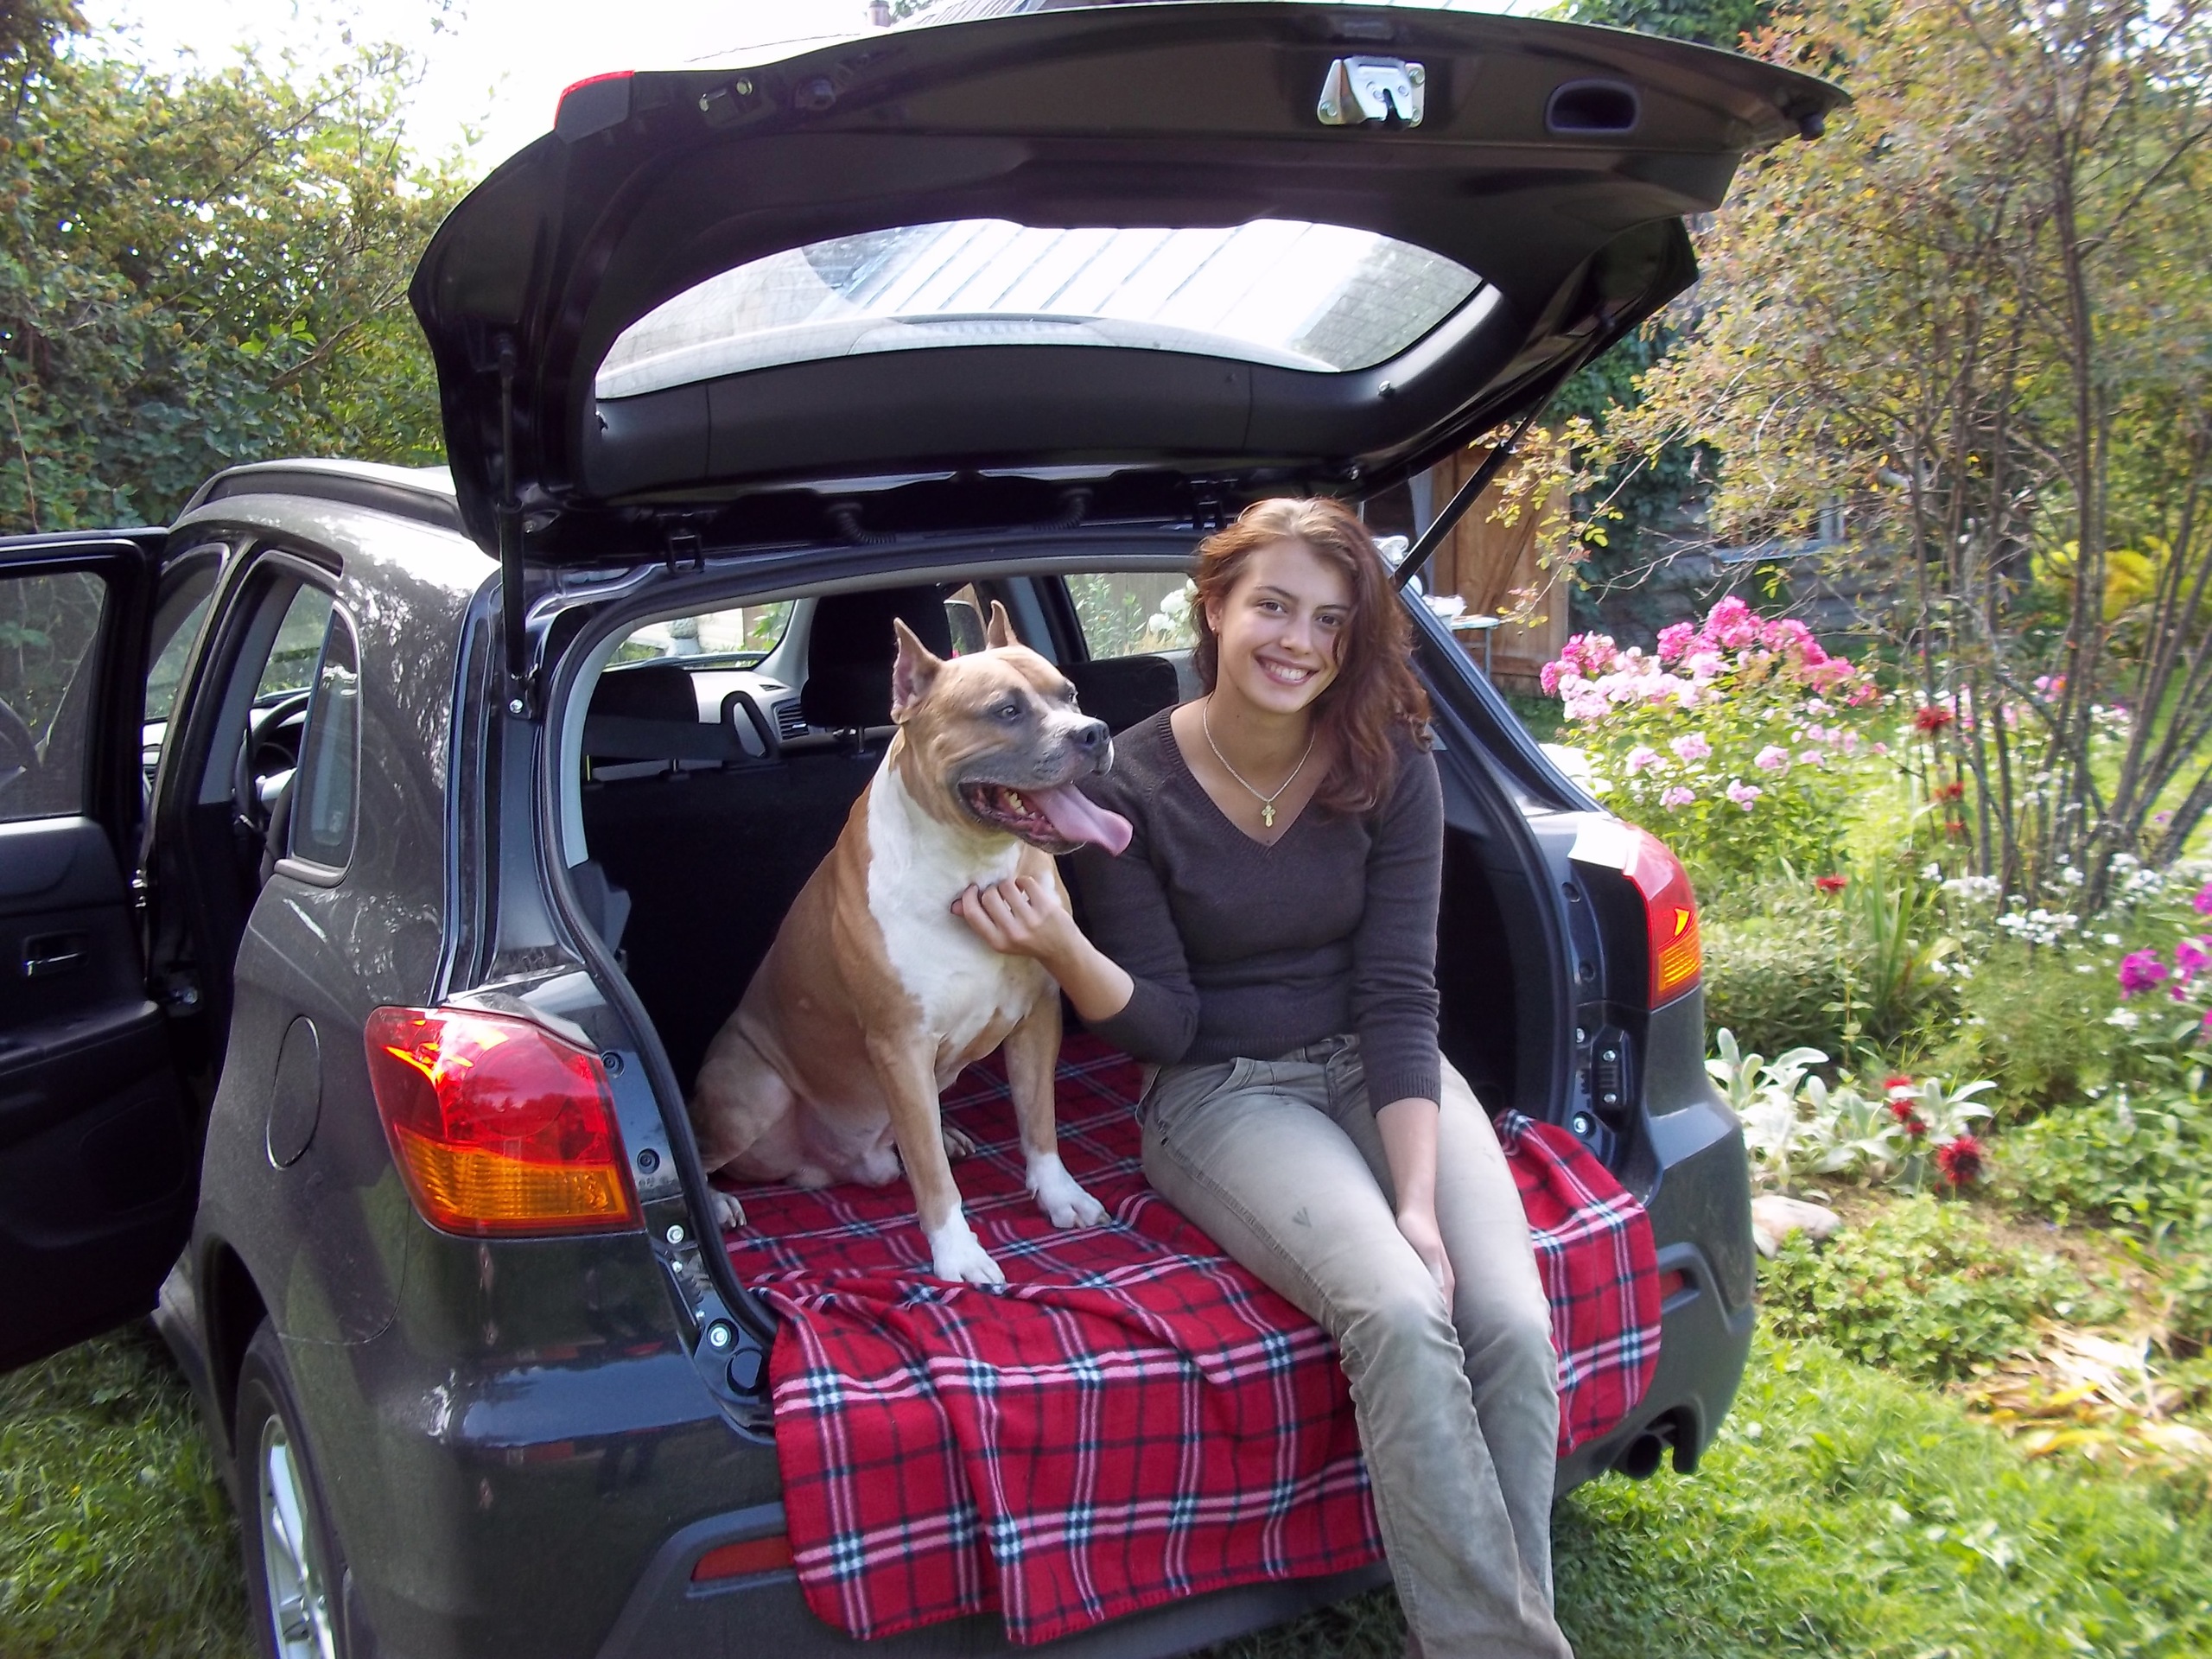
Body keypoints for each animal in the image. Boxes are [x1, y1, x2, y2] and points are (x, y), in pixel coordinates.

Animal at [689, 602, 1133, 1283]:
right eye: (1006, 711)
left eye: (1071, 694)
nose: (1094, 732)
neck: (972, 868)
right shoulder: (899, 1044)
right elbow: (932, 1174)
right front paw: (959, 1254)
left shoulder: (1038, 1016)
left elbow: (1039, 1121)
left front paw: (1059, 1195)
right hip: (753, 1095)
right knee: (704, 1146)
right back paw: (714, 1202)